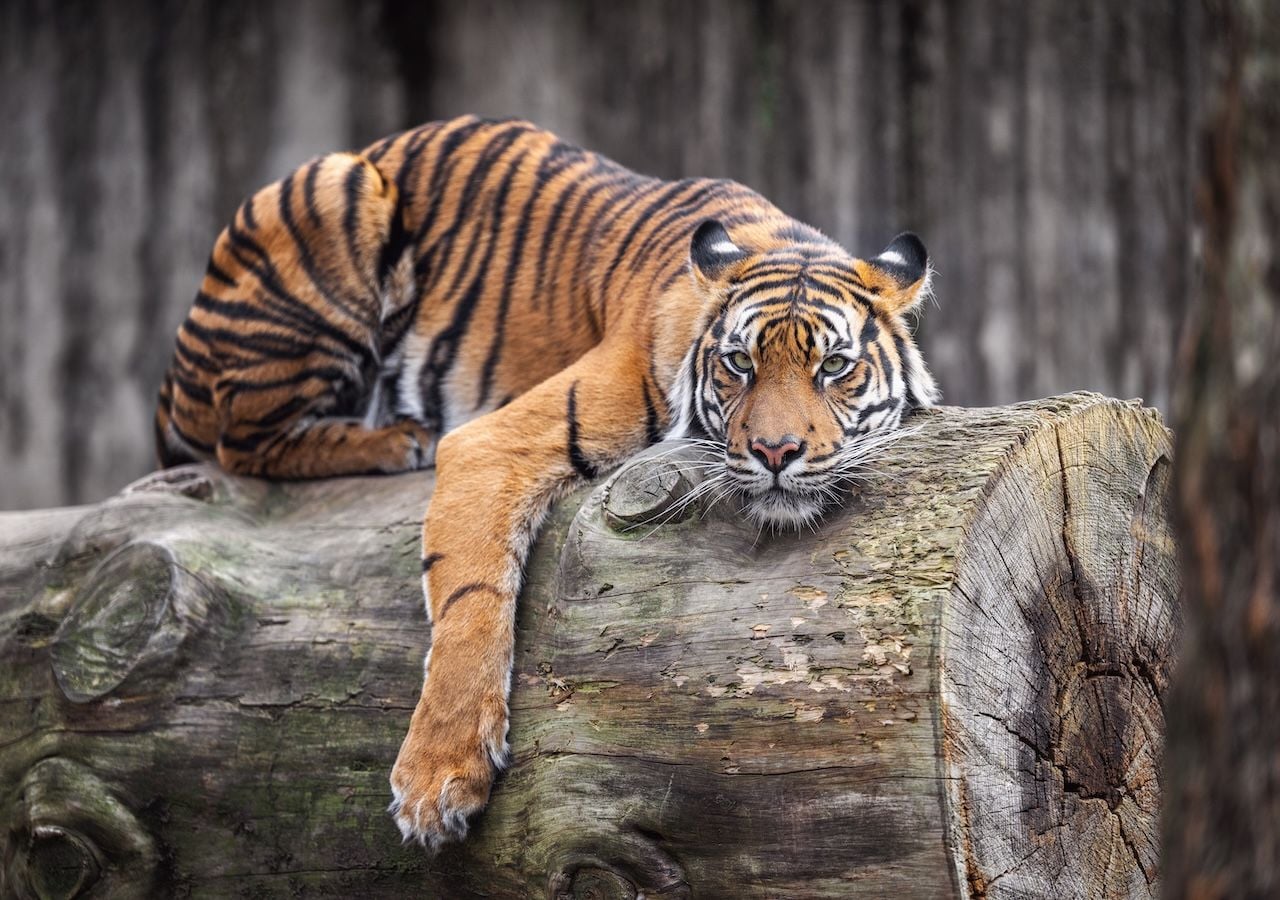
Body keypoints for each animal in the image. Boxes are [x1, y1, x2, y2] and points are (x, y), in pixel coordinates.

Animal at [155, 115, 939, 851]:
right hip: (339, 196)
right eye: (739, 363)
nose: (776, 451)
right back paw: (395, 437)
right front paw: (438, 783)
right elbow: (472, 601)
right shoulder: (487, 442)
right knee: (240, 437)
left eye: (833, 367)